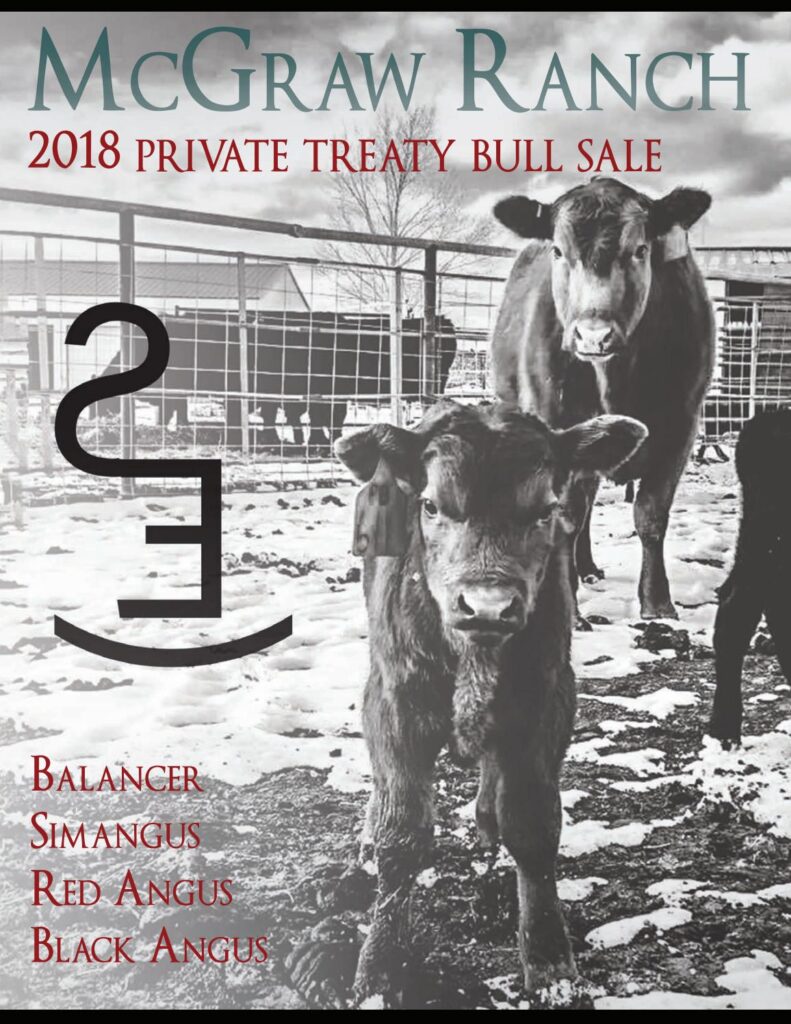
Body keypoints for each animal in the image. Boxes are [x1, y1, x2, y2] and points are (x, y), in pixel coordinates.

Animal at [333, 400, 647, 1005]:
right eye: (431, 504)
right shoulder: (393, 702)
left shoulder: (546, 703)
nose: (487, 606)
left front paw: (551, 968)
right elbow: (403, 835)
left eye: (546, 509)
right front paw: (377, 970)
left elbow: (532, 825)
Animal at [492, 177, 715, 619]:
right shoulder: (555, 421)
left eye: (641, 249)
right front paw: (568, 607)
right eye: (558, 251)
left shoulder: (680, 426)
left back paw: (589, 566)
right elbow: (565, 515)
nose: (593, 335)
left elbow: (651, 514)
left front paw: (657, 602)